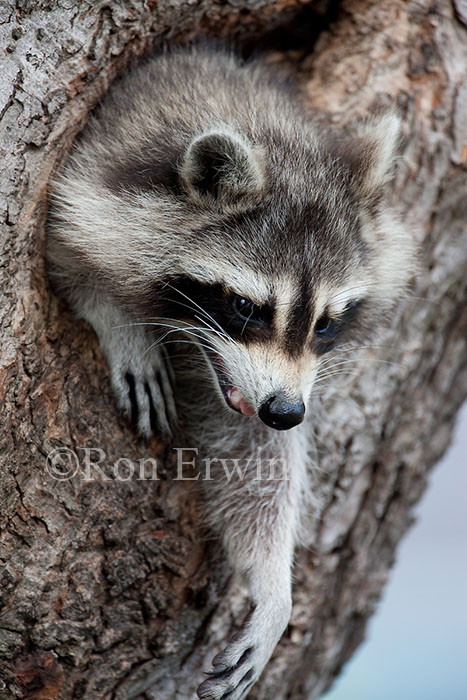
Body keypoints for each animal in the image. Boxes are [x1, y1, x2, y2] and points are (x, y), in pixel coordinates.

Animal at [47, 45, 414, 700]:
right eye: (246, 306)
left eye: (325, 323)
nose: (287, 412)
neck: (265, 126)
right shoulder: (94, 182)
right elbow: (70, 259)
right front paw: (118, 319)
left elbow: (253, 455)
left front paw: (274, 589)